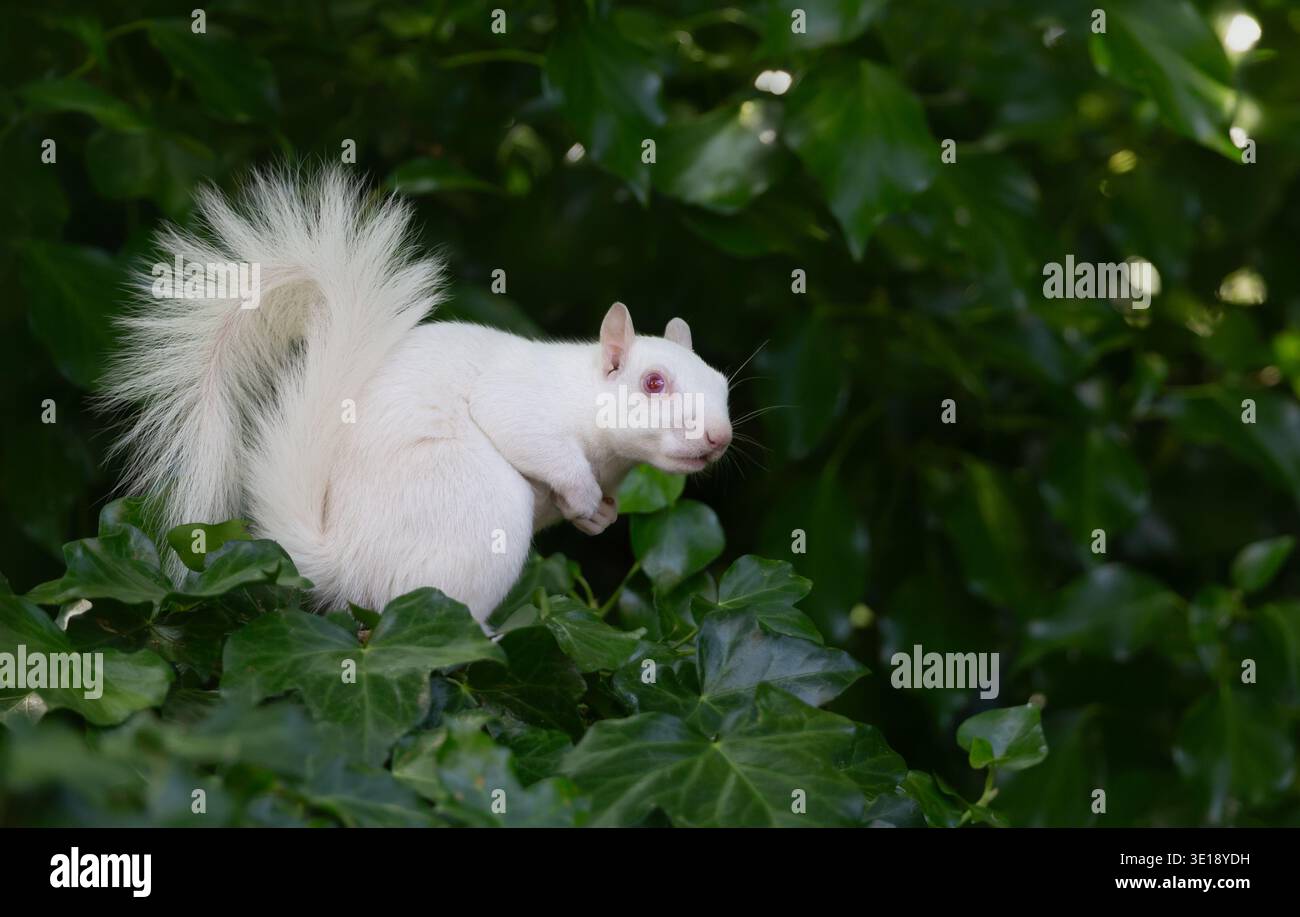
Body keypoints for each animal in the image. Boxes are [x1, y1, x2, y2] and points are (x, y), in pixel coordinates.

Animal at [101, 168, 733, 624]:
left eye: (723, 384)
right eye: (653, 383)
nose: (719, 437)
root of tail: (346, 564)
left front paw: (598, 517)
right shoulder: (521, 400)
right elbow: (528, 434)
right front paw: (582, 494)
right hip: (477, 510)